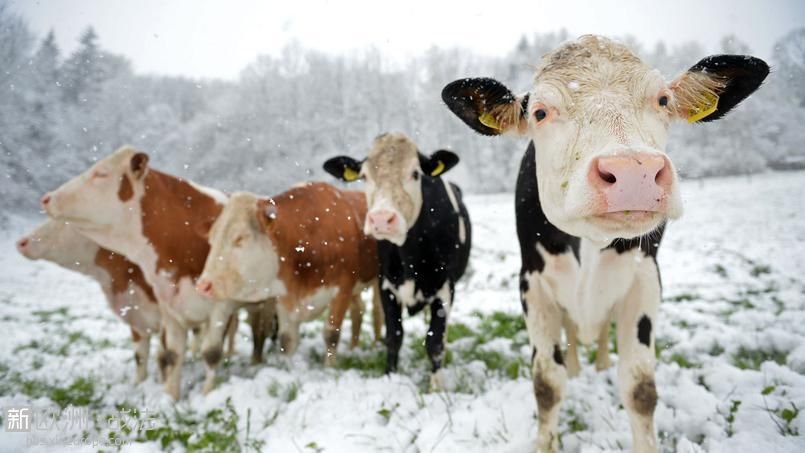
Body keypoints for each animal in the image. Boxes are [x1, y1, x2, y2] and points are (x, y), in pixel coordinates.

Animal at [40, 146, 270, 400]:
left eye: (101, 173)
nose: (47, 197)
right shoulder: (169, 306)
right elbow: (172, 354)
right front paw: (171, 398)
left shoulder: (222, 305)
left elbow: (211, 353)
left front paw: (207, 395)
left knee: (259, 330)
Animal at [196, 181, 382, 364]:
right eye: (212, 238)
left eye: (240, 238)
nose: (203, 286)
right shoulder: (285, 297)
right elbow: (287, 341)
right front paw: (288, 367)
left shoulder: (342, 289)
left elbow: (331, 335)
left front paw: (330, 368)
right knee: (358, 310)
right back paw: (353, 348)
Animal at [320, 132, 472, 388]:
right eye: (364, 176)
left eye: (415, 173)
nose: (382, 219)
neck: (410, 256)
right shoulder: (387, 285)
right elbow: (394, 336)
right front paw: (390, 376)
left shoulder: (445, 288)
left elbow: (435, 341)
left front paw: (436, 386)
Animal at [440, 36, 768, 452]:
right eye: (540, 112)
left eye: (662, 100)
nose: (633, 172)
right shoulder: (533, 283)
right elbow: (547, 383)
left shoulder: (645, 280)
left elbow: (641, 388)